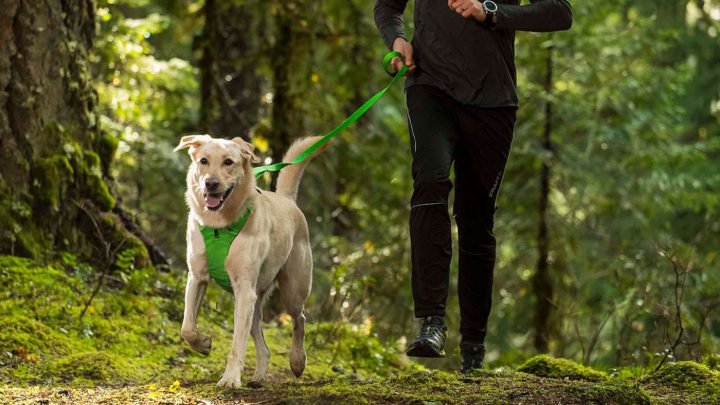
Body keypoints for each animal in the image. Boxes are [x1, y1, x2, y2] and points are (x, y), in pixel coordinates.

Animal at [174, 134, 326, 386]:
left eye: (228, 162)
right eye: (203, 161)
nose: (211, 184)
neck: (218, 225)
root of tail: (286, 198)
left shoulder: (244, 289)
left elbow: (237, 344)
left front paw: (229, 379)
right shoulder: (197, 277)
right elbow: (187, 327)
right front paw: (203, 344)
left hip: (291, 290)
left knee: (300, 319)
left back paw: (297, 360)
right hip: (255, 301)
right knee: (264, 347)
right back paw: (258, 376)